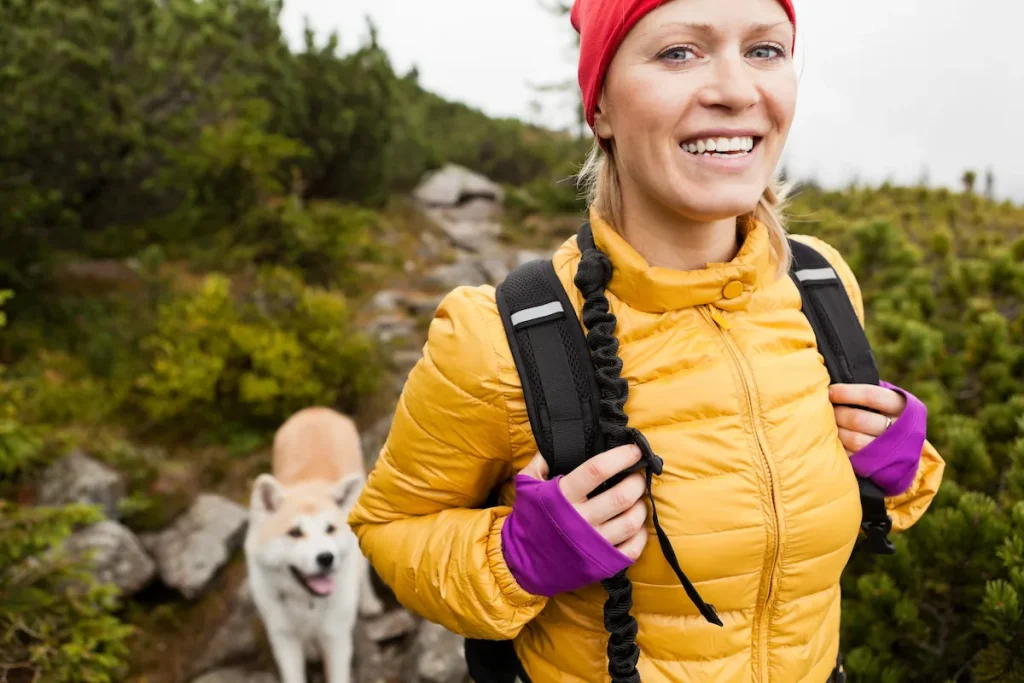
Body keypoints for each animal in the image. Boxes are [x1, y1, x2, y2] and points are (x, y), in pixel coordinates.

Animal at [243, 405, 385, 683]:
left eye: (329, 529)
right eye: (294, 532)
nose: (326, 558)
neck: (307, 604)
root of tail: (315, 410)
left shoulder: (336, 637)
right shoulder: (283, 638)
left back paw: (369, 603)